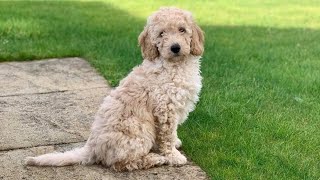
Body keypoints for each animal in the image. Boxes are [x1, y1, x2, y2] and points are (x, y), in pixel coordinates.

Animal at [25, 6, 205, 171]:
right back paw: (155, 159)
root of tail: (92, 148)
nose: (175, 47)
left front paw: (176, 142)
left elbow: (173, 133)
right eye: (161, 34)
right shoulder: (165, 109)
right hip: (139, 132)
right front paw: (173, 156)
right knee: (122, 164)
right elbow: (167, 136)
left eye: (182, 30)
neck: (175, 66)